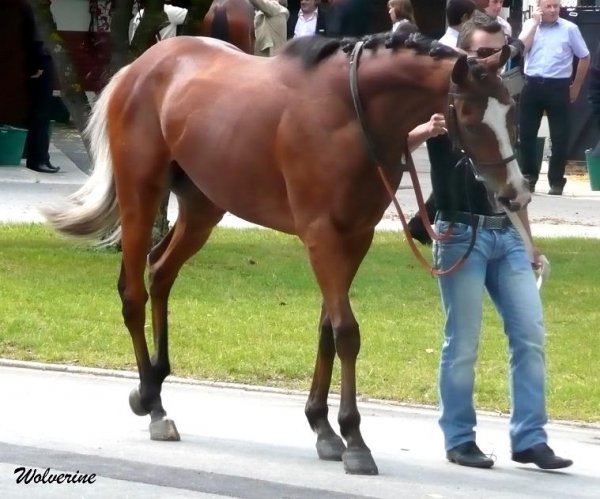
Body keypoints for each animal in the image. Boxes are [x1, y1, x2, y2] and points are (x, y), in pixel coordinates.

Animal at [44, 32, 528, 476]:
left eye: (512, 111)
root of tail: (140, 66)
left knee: (161, 272)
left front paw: (323, 427)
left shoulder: (355, 237)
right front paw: (354, 439)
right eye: (472, 117)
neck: (351, 115)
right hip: (141, 194)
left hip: (204, 205)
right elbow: (346, 332)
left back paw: (155, 392)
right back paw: (151, 402)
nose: (515, 193)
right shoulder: (321, 236)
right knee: (133, 293)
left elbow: (328, 330)